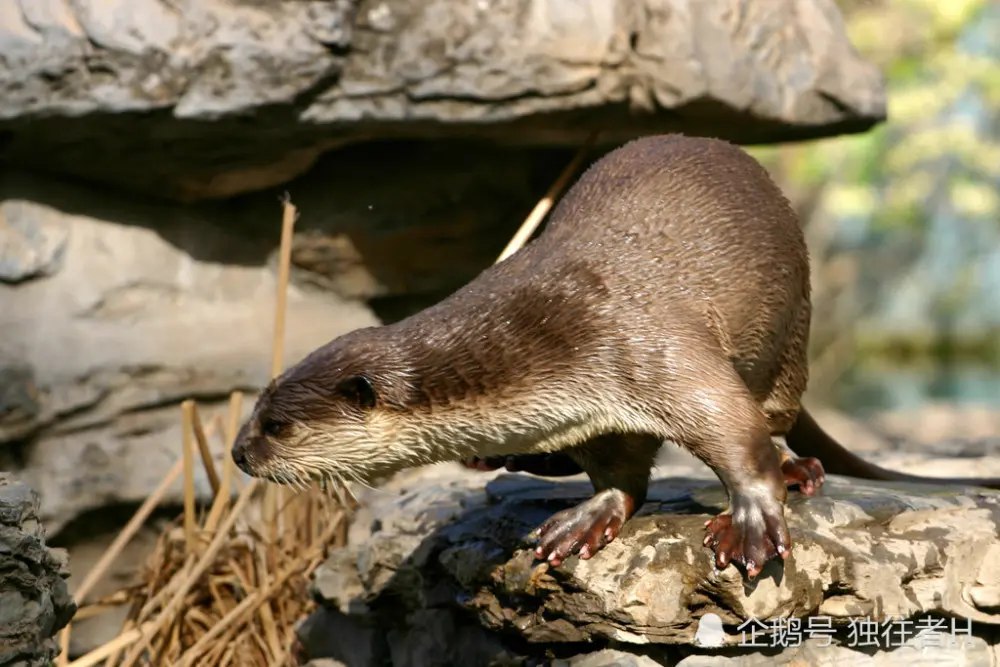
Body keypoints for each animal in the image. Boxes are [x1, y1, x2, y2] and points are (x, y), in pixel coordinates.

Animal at [230, 134, 1000, 580]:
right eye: (258, 411)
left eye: (277, 426)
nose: (238, 452)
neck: (552, 337)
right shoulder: (599, 412)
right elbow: (621, 472)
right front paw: (589, 516)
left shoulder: (655, 345)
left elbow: (733, 432)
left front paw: (752, 520)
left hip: (791, 336)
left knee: (777, 416)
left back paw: (799, 468)